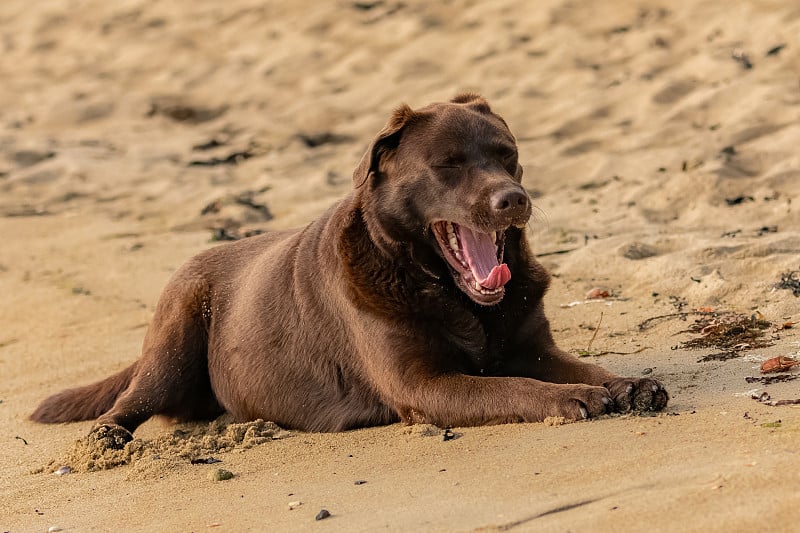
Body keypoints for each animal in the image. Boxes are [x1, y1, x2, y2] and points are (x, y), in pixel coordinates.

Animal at [31, 91, 668, 440]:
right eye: (448, 163)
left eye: (507, 156)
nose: (513, 199)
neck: (444, 291)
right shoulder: (424, 385)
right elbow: (514, 389)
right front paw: (571, 399)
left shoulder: (532, 348)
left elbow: (578, 367)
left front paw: (627, 384)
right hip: (174, 337)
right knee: (129, 402)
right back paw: (106, 439)